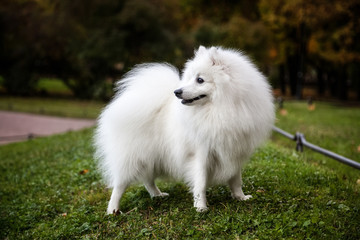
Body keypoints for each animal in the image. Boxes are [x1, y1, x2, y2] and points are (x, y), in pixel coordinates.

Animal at [94, 46, 274, 213]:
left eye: (200, 80)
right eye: (189, 79)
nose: (177, 91)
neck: (219, 109)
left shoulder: (233, 151)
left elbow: (236, 180)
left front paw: (240, 197)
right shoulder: (201, 153)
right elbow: (200, 183)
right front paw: (201, 207)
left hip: (151, 157)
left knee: (148, 179)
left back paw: (157, 195)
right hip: (133, 157)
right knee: (120, 185)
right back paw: (113, 210)